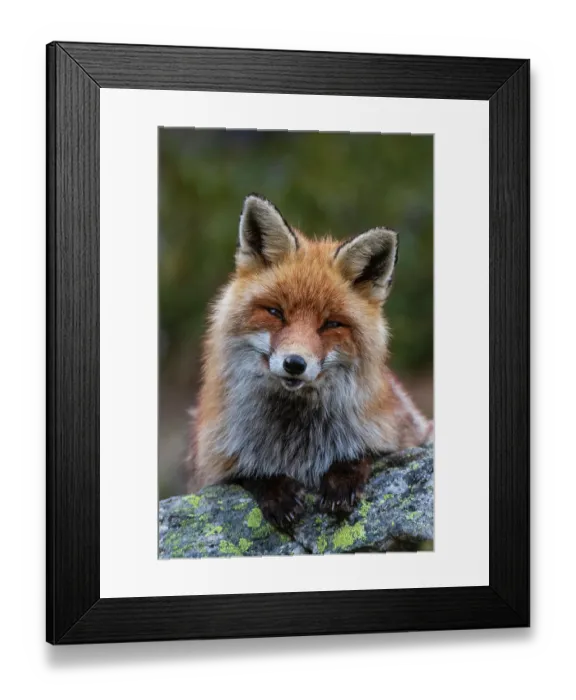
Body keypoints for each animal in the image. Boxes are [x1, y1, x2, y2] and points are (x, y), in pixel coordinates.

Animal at [185, 194, 433, 529]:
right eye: (276, 312)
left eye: (331, 324)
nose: (294, 363)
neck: (298, 439)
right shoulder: (213, 468)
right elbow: (250, 473)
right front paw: (277, 492)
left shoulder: (404, 435)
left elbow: (363, 453)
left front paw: (341, 480)